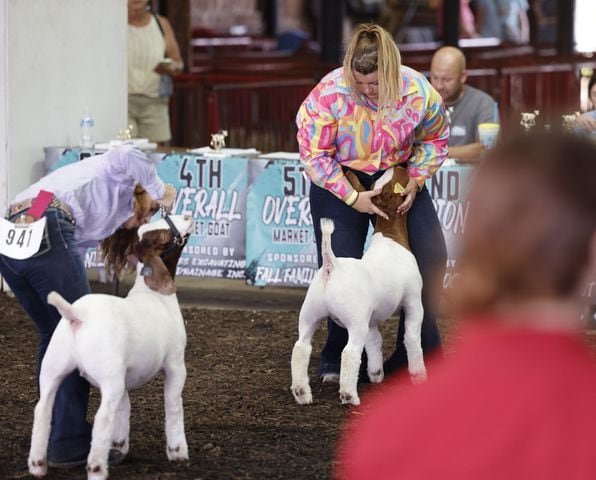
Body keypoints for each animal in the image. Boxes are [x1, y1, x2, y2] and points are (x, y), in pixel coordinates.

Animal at [28, 216, 193, 478]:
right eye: (163, 236)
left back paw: (37, 465)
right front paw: (177, 452)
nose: (187, 217)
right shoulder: (176, 364)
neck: (154, 295)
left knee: (43, 409)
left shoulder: (124, 374)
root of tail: (77, 316)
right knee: (103, 417)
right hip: (109, 376)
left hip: (53, 368)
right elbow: (173, 406)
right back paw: (97, 468)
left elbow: (124, 407)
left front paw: (119, 445)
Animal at [292, 166, 426, 404]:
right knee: (350, 352)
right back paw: (349, 395)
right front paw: (419, 375)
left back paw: (302, 393)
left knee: (301, 347)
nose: (400, 165)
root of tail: (332, 266)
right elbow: (411, 338)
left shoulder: (370, 318)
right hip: (355, 322)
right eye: (399, 177)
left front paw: (376, 373)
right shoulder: (413, 302)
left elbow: (375, 342)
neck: (391, 237)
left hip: (311, 314)